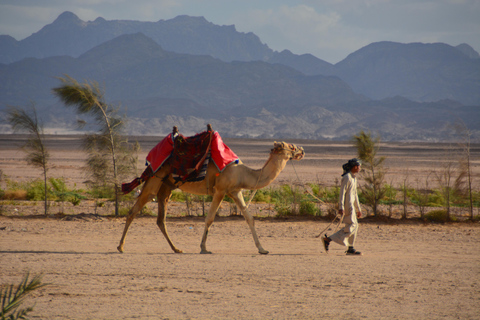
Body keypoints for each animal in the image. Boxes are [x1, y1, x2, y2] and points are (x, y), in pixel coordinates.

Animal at [117, 140, 304, 255]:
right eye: (291, 146)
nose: (302, 150)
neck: (244, 173)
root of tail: (150, 164)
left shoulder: (235, 191)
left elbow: (249, 218)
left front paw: (262, 249)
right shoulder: (220, 190)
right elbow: (210, 219)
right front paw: (203, 248)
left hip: (166, 186)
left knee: (160, 219)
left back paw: (176, 249)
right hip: (155, 178)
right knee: (134, 210)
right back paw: (120, 247)